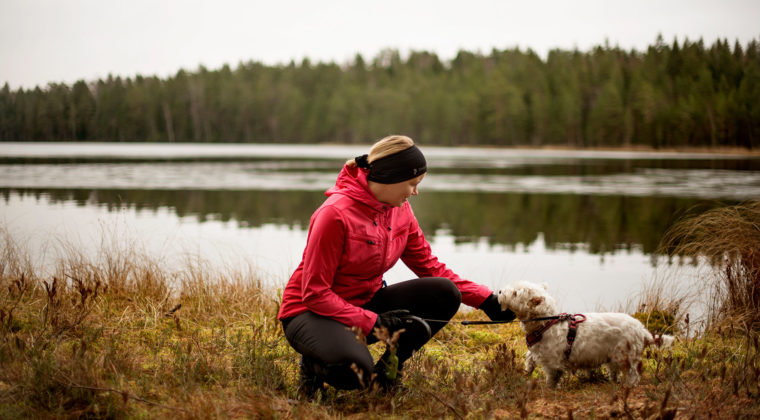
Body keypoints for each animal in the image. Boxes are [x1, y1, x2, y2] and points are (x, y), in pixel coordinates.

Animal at [498, 282, 672, 388]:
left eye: (515, 293)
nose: (499, 291)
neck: (545, 324)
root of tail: (642, 330)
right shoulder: (536, 350)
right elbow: (530, 359)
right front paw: (527, 371)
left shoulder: (553, 363)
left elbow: (552, 377)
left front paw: (549, 388)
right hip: (614, 357)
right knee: (615, 371)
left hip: (627, 356)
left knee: (634, 374)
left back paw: (629, 385)